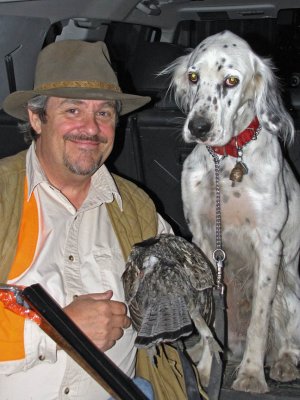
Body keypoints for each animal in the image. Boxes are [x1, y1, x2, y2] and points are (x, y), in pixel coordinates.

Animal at [163, 31, 300, 394]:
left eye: (231, 81)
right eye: (193, 77)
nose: (198, 127)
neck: (225, 161)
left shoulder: (270, 246)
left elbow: (259, 321)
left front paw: (251, 374)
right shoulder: (204, 241)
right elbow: (210, 324)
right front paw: (207, 371)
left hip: (290, 290)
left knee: (288, 339)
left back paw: (282, 363)